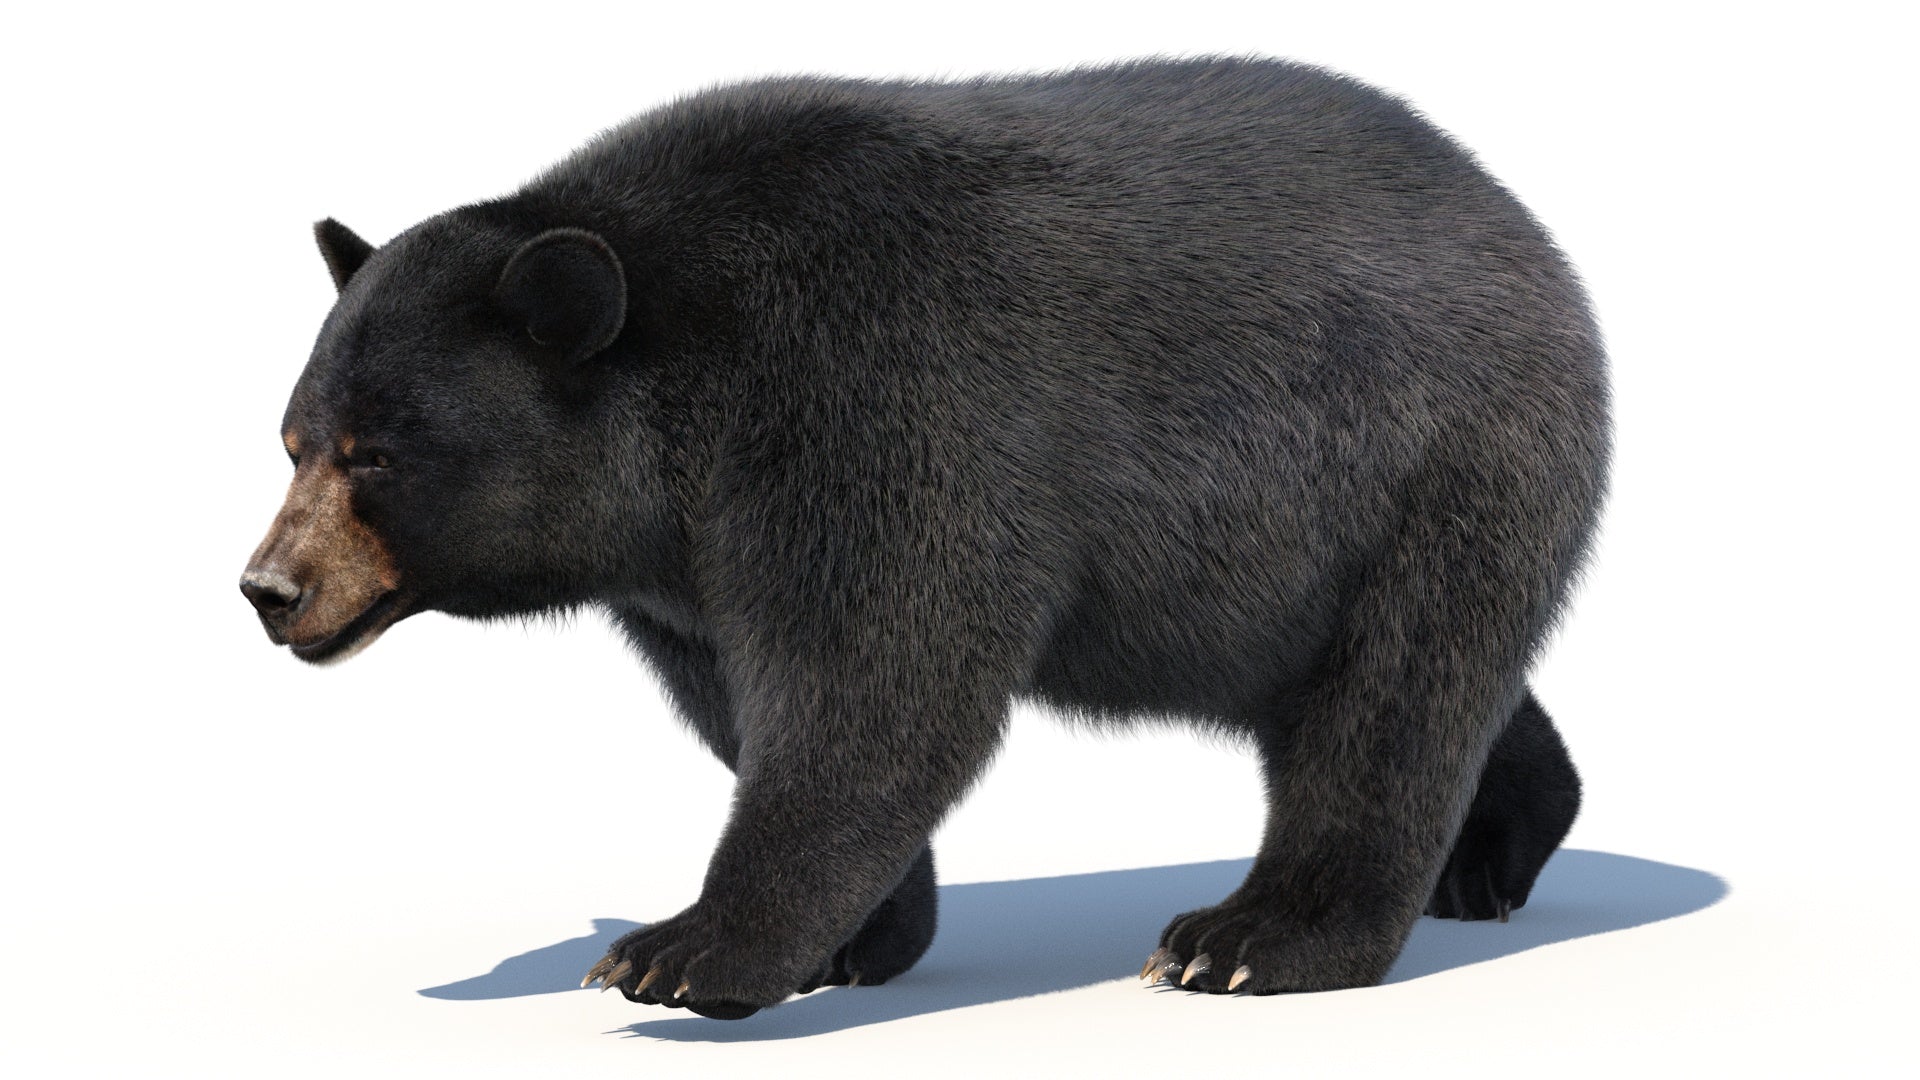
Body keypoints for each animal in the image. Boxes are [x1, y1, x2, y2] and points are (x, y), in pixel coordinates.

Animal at [241, 57, 1605, 1019]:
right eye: (295, 439)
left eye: (377, 454)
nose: (269, 588)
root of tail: (1524, 227)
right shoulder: (682, 573)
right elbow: (752, 707)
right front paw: (854, 940)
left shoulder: (873, 407)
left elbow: (876, 684)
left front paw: (681, 951)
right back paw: (1489, 857)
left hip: (1425, 463)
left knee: (1391, 696)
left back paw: (1253, 939)